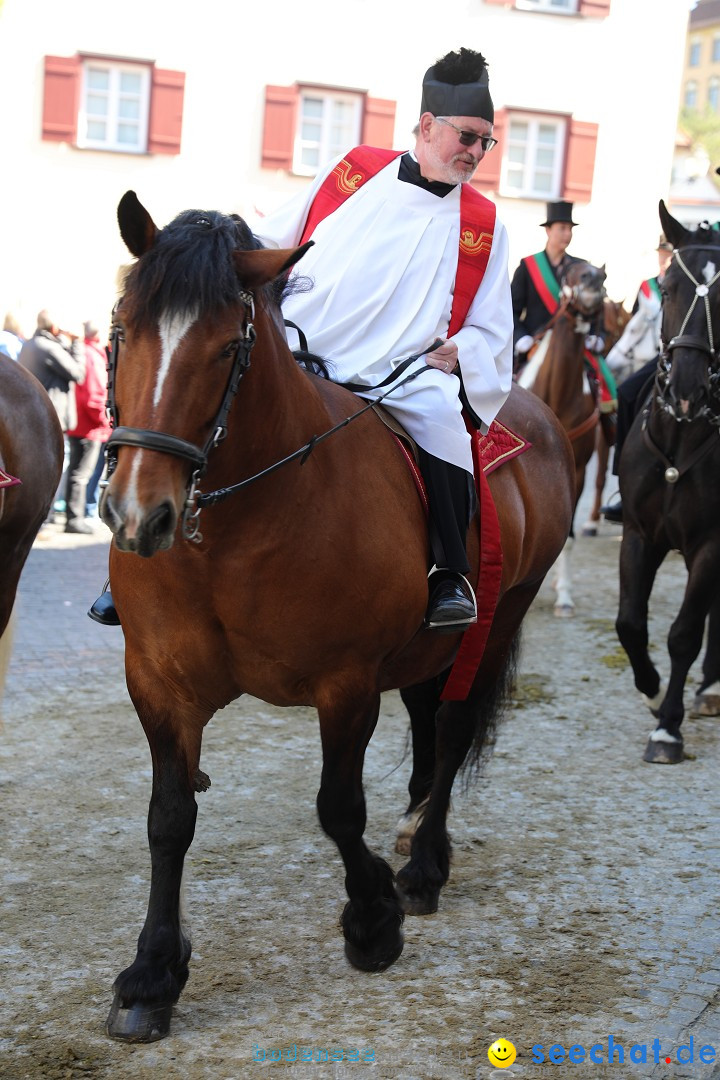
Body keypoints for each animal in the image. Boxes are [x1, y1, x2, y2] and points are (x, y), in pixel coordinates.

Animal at [99, 192, 574, 1036]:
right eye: (124, 326)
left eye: (227, 349)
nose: (137, 515)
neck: (234, 530)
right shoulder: (157, 685)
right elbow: (168, 818)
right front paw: (152, 973)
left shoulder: (345, 685)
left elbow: (339, 807)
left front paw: (373, 919)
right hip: (426, 652)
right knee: (428, 724)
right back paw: (420, 836)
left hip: (498, 619)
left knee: (452, 728)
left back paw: (422, 866)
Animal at [518, 260, 608, 613]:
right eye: (572, 271)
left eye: (602, 274)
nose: (594, 281)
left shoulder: (579, 470)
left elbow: (568, 539)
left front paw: (565, 594)